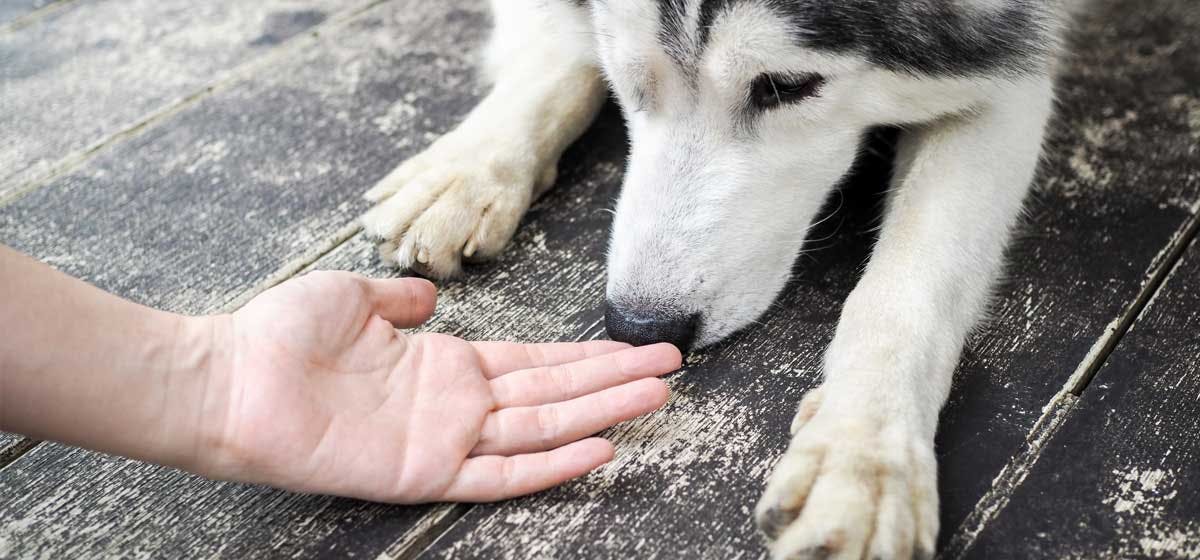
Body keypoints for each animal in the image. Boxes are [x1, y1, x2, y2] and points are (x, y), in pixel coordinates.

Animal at [357, 2, 1070, 558]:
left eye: (786, 85)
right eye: (628, 76)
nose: (641, 327)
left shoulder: (1008, 70)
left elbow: (911, 282)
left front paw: (863, 450)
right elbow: (561, 50)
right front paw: (469, 166)